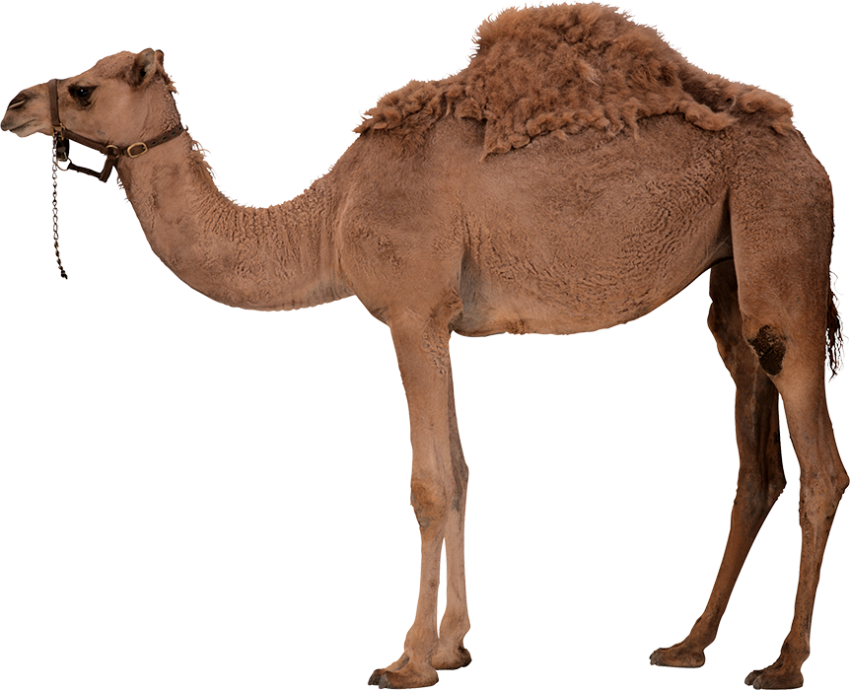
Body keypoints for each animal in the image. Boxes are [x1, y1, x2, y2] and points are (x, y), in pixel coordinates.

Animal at [2, 2, 847, 689]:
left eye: (85, 88)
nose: (14, 104)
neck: (329, 216)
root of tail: (808, 153)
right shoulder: (440, 322)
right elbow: (464, 470)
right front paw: (453, 647)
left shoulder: (412, 311)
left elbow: (430, 483)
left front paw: (406, 659)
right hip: (732, 272)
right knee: (756, 461)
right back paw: (688, 644)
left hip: (781, 233)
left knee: (819, 463)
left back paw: (783, 663)